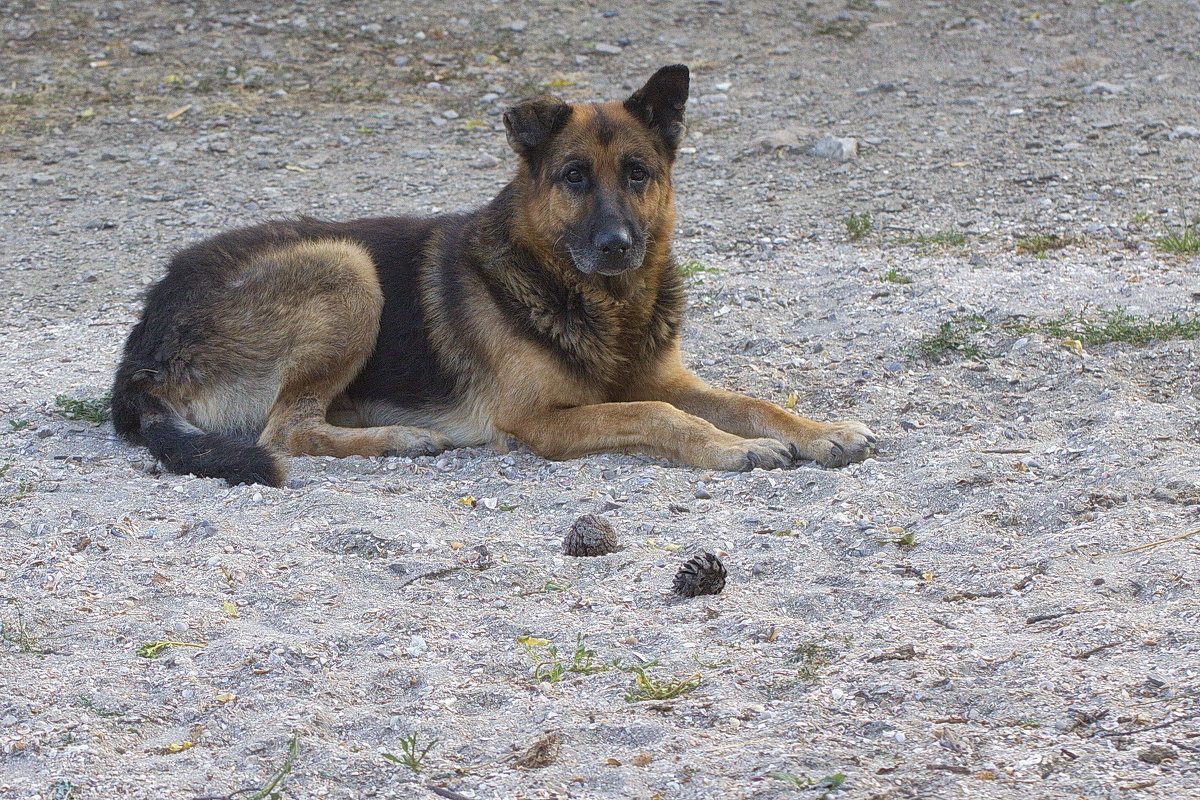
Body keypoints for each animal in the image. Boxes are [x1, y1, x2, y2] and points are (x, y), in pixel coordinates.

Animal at [112, 64, 878, 489]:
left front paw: (822, 430)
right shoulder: (537, 419)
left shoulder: (666, 377)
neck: (605, 303)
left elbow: (754, 402)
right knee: (284, 432)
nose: (617, 245)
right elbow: (654, 414)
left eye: (638, 174)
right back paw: (402, 440)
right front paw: (731, 450)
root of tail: (140, 355)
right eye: (574, 177)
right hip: (345, 265)